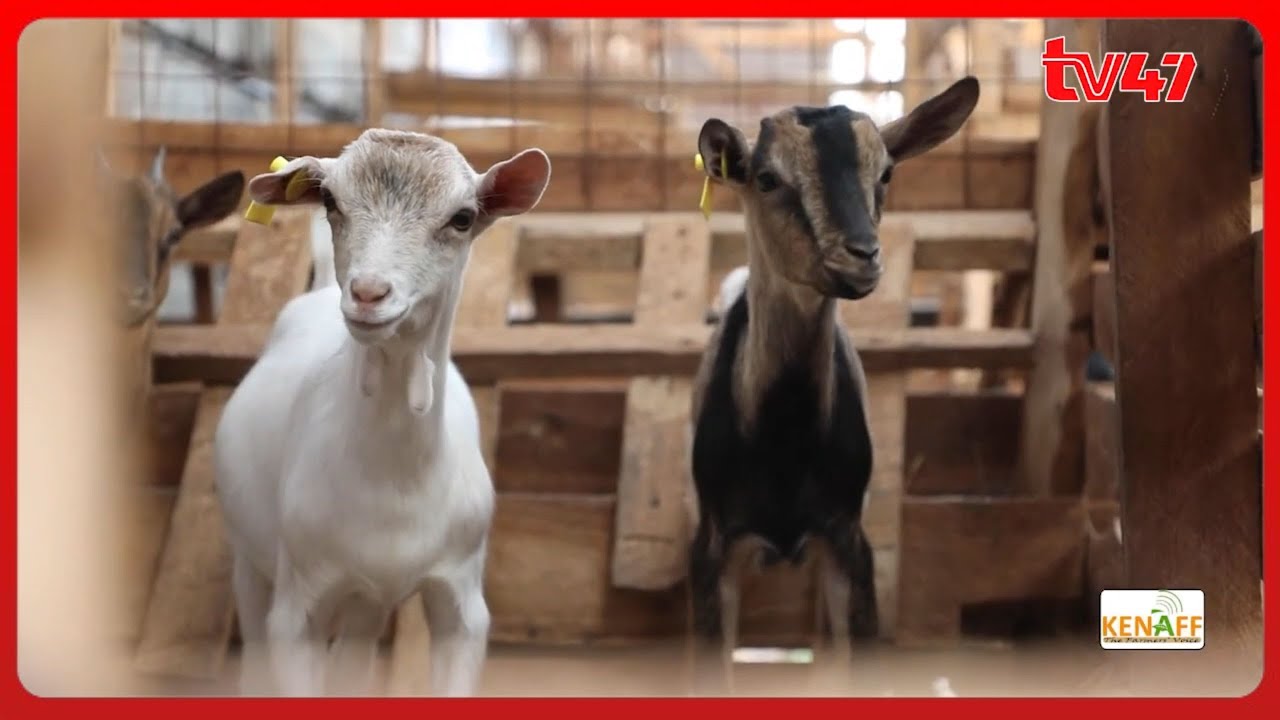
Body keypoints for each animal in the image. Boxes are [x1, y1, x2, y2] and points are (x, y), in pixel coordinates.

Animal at [212, 129, 551, 697]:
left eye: (462, 218)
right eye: (330, 201)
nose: (369, 293)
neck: (394, 476)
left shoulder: (462, 600)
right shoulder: (298, 605)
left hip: (365, 601)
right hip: (248, 559)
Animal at [686, 77, 980, 685]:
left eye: (886, 172)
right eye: (767, 178)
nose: (862, 255)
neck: (784, 444)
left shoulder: (847, 538)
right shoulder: (715, 544)